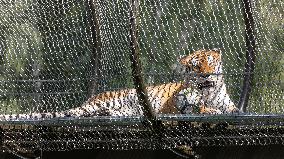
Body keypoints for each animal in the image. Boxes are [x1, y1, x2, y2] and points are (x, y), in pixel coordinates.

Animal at [0, 48, 239, 120]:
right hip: (105, 102)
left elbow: (234, 109)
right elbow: (201, 107)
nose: (207, 76)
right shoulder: (174, 106)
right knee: (73, 113)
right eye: (197, 67)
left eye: (210, 63)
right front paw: (208, 109)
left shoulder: (229, 104)